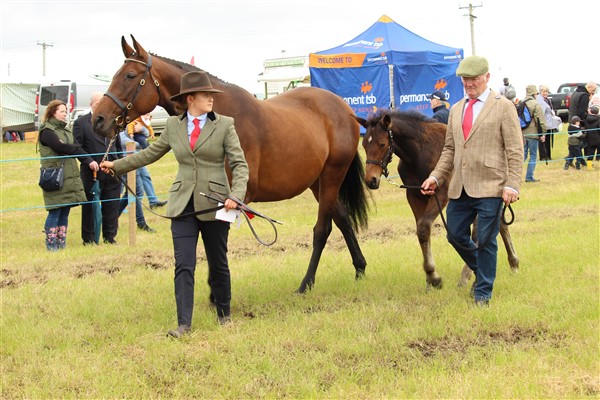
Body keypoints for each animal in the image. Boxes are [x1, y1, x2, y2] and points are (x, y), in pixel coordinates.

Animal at [92, 36, 370, 294]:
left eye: (129, 75)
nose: (98, 119)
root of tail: (344, 108)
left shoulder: (231, 197)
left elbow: (216, 244)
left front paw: (216, 294)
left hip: (332, 175)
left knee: (323, 228)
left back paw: (306, 284)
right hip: (317, 182)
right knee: (342, 218)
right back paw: (359, 269)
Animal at [355, 109, 519, 289]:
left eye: (382, 144)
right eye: (364, 145)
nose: (371, 180)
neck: (419, 152)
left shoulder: (440, 194)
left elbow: (424, 227)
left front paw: (433, 277)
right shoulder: (415, 195)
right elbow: (422, 231)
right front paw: (430, 279)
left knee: (481, 231)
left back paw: (469, 274)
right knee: (499, 224)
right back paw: (512, 263)